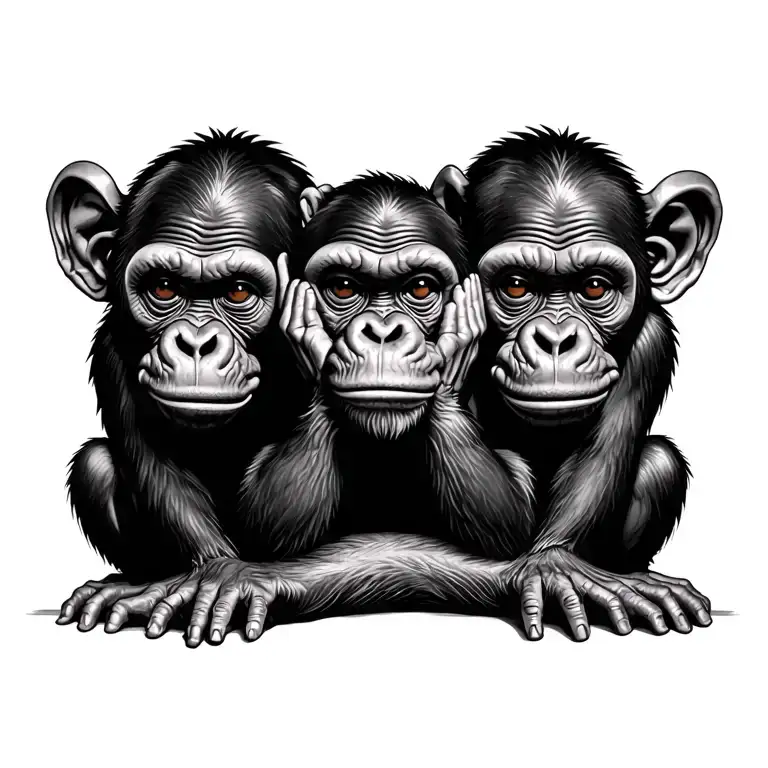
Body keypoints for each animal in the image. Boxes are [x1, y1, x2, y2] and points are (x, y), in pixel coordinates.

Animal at [48, 129, 313, 632]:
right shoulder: (113, 351)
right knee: (95, 464)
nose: (196, 342)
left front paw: (222, 580)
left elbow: (284, 510)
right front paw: (210, 573)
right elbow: (160, 474)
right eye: (165, 287)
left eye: (239, 292)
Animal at [433, 126, 720, 640]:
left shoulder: (651, 339)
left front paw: (555, 562)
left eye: (594, 286)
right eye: (516, 284)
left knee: (661, 460)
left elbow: (599, 455)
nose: (556, 339)